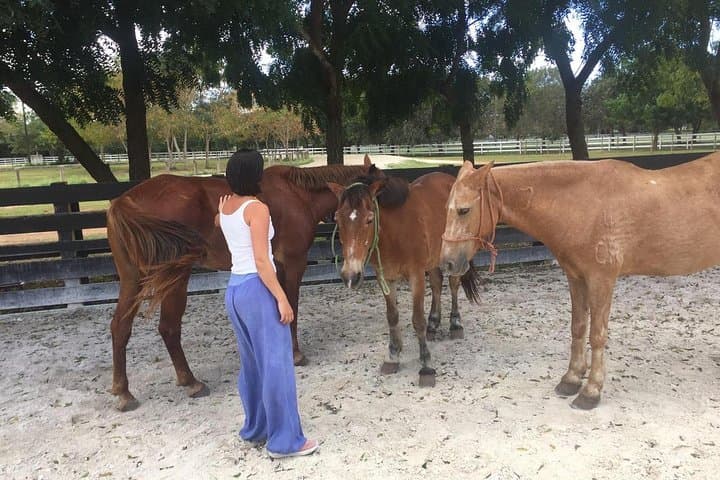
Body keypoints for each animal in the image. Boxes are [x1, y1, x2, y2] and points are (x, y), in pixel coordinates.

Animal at [106, 156, 379, 411]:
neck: (297, 194)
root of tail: (124, 202)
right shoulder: (294, 264)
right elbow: (291, 307)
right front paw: (295, 354)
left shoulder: (275, 267)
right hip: (175, 278)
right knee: (168, 328)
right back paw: (191, 382)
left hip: (132, 279)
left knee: (120, 327)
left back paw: (124, 392)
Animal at [328, 170, 481, 387]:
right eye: (338, 220)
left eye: (369, 219)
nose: (351, 276)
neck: (394, 234)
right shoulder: (385, 277)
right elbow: (392, 316)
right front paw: (393, 357)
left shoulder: (416, 276)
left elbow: (417, 320)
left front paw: (426, 366)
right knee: (436, 283)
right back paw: (434, 324)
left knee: (453, 284)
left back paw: (455, 324)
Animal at [440, 154, 720, 409]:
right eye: (447, 209)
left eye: (464, 210)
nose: (448, 263)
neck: (584, 205)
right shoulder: (576, 278)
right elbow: (578, 327)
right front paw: (572, 379)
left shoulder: (601, 280)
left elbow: (596, 335)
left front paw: (591, 391)